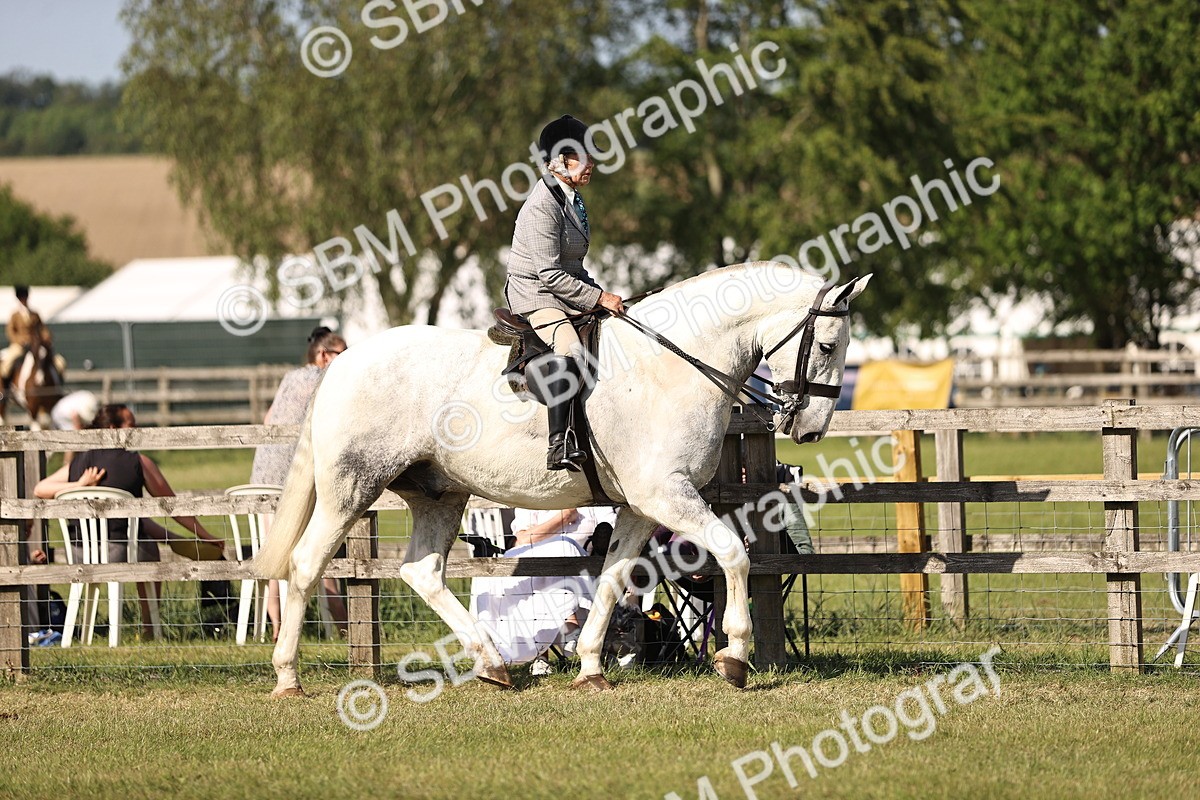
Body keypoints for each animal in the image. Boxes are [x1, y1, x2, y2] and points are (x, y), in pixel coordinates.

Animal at [255, 262, 871, 697]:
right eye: (827, 345)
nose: (812, 429)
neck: (669, 367)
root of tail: (345, 362)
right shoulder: (666, 495)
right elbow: (734, 553)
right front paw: (736, 657)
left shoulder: (639, 507)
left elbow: (613, 578)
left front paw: (591, 667)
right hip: (349, 490)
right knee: (305, 566)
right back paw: (288, 678)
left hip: (440, 494)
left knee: (421, 571)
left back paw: (492, 664)